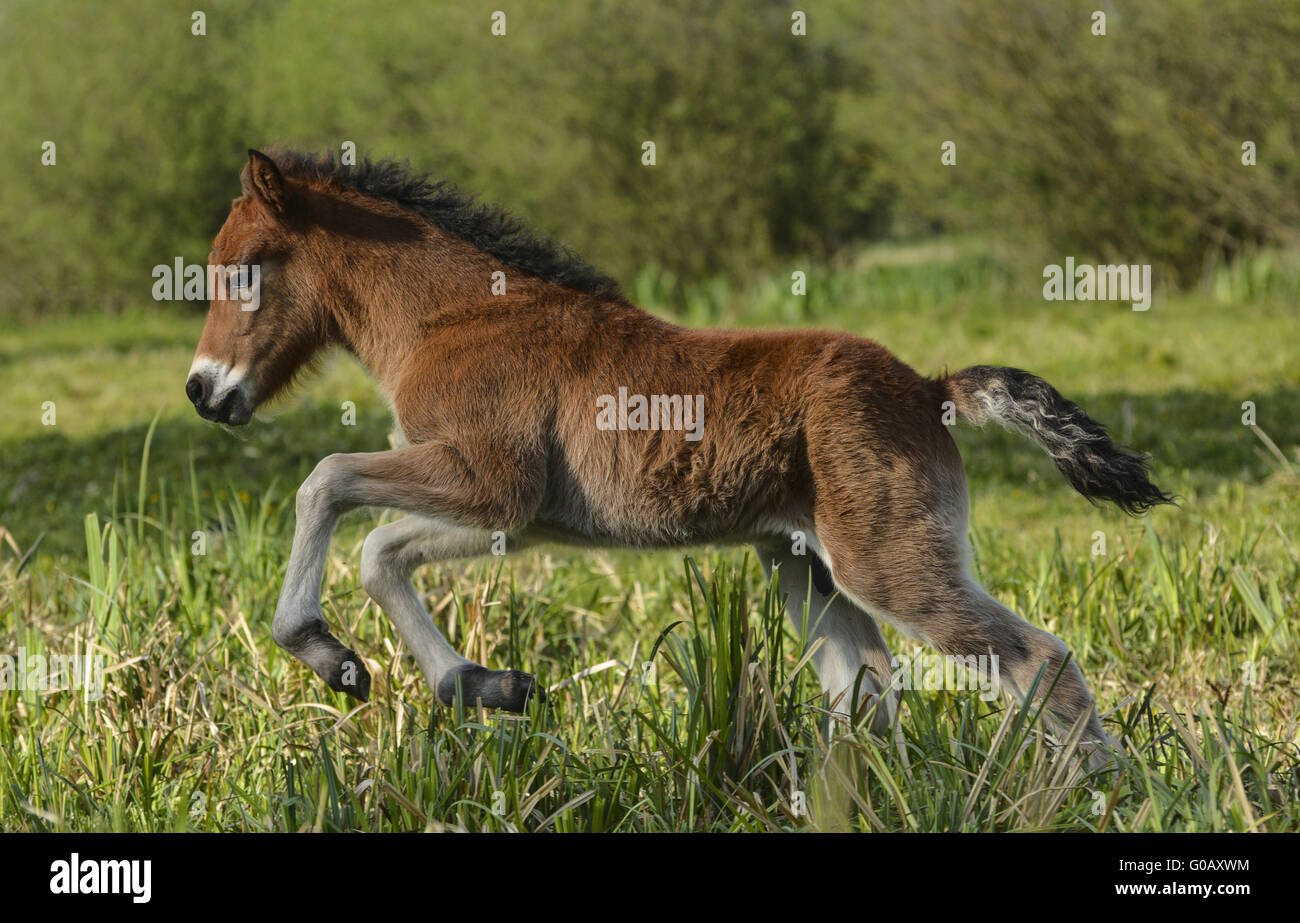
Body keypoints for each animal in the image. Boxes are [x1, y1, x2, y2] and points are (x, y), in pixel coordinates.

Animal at [188, 152, 1175, 769]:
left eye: (247, 267)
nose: (204, 390)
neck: (457, 318)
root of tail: (929, 386)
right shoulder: (509, 513)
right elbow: (381, 548)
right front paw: (481, 683)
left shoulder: (494, 486)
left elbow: (333, 494)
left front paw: (333, 655)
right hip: (801, 562)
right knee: (866, 693)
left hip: (884, 560)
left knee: (1037, 660)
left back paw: (1096, 795)